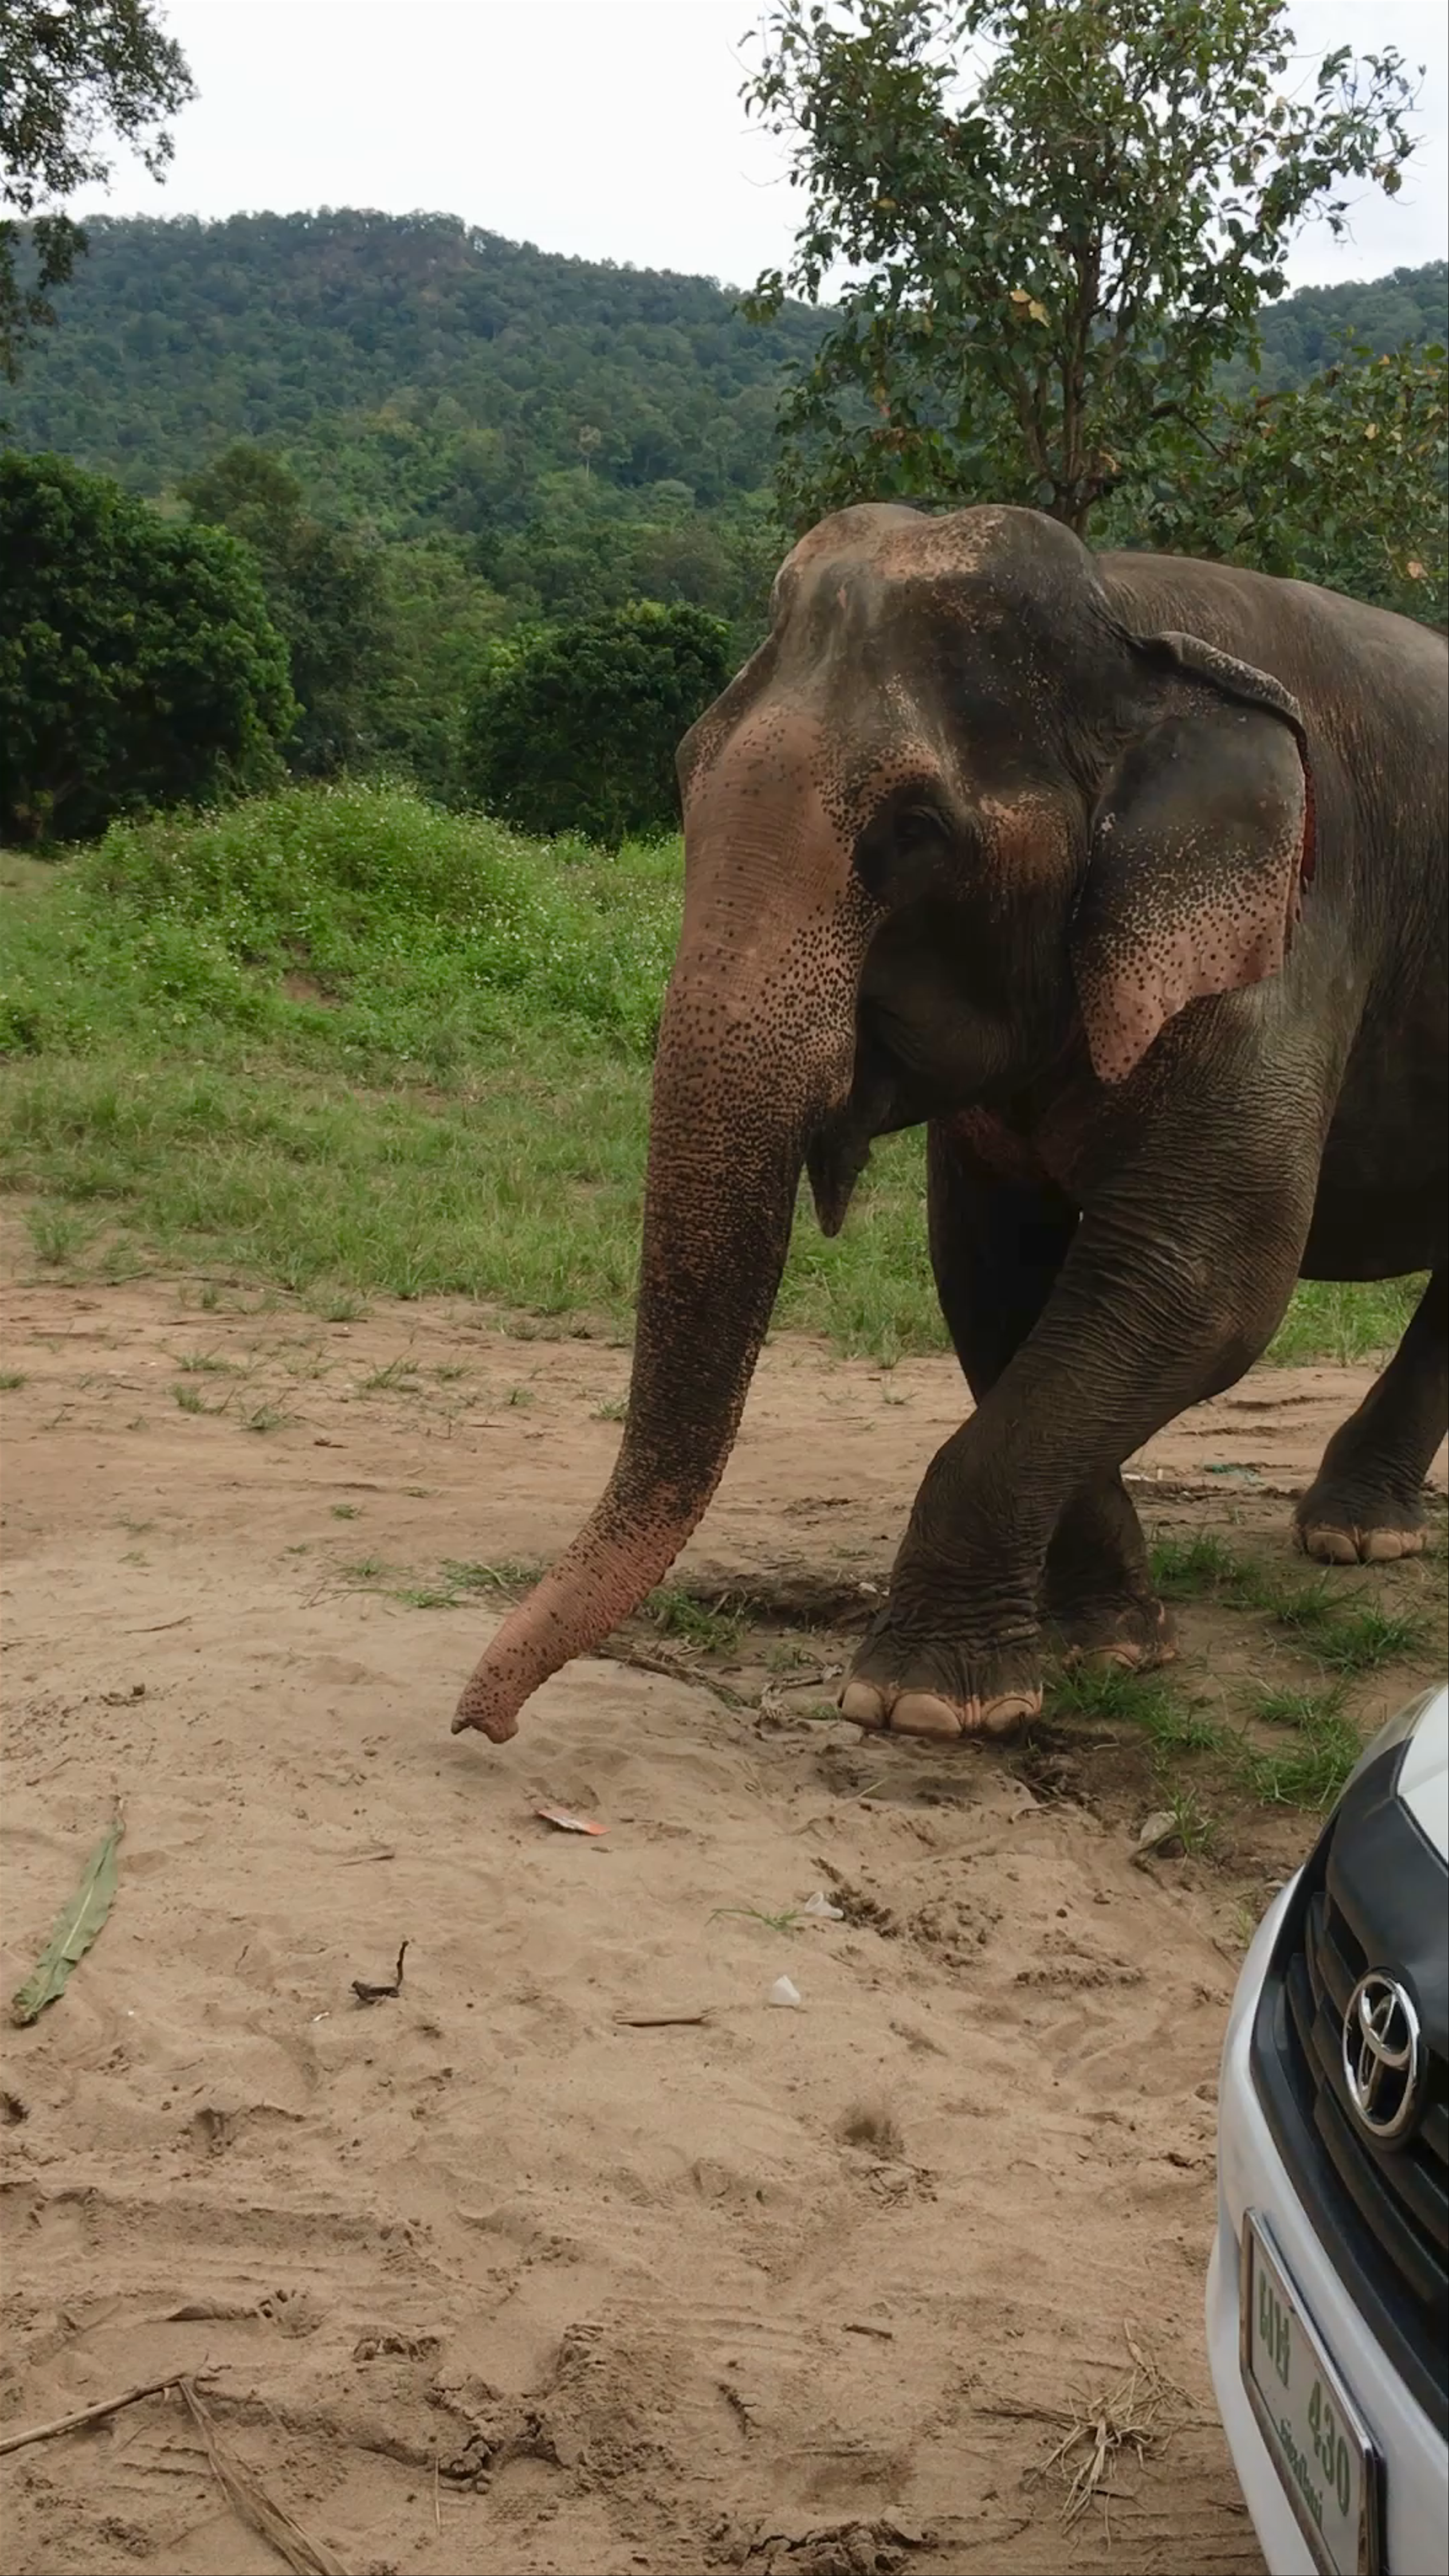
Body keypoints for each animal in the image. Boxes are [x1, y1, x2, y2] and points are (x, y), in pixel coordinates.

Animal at [453, 502, 1448, 1748]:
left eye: (916, 829)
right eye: (684, 772)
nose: (480, 1723)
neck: (1130, 617)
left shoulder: (1289, 933)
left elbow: (1204, 1276)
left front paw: (921, 1701)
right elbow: (991, 1271)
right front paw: (1109, 1644)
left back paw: (1356, 1537)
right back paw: (1358, 1529)